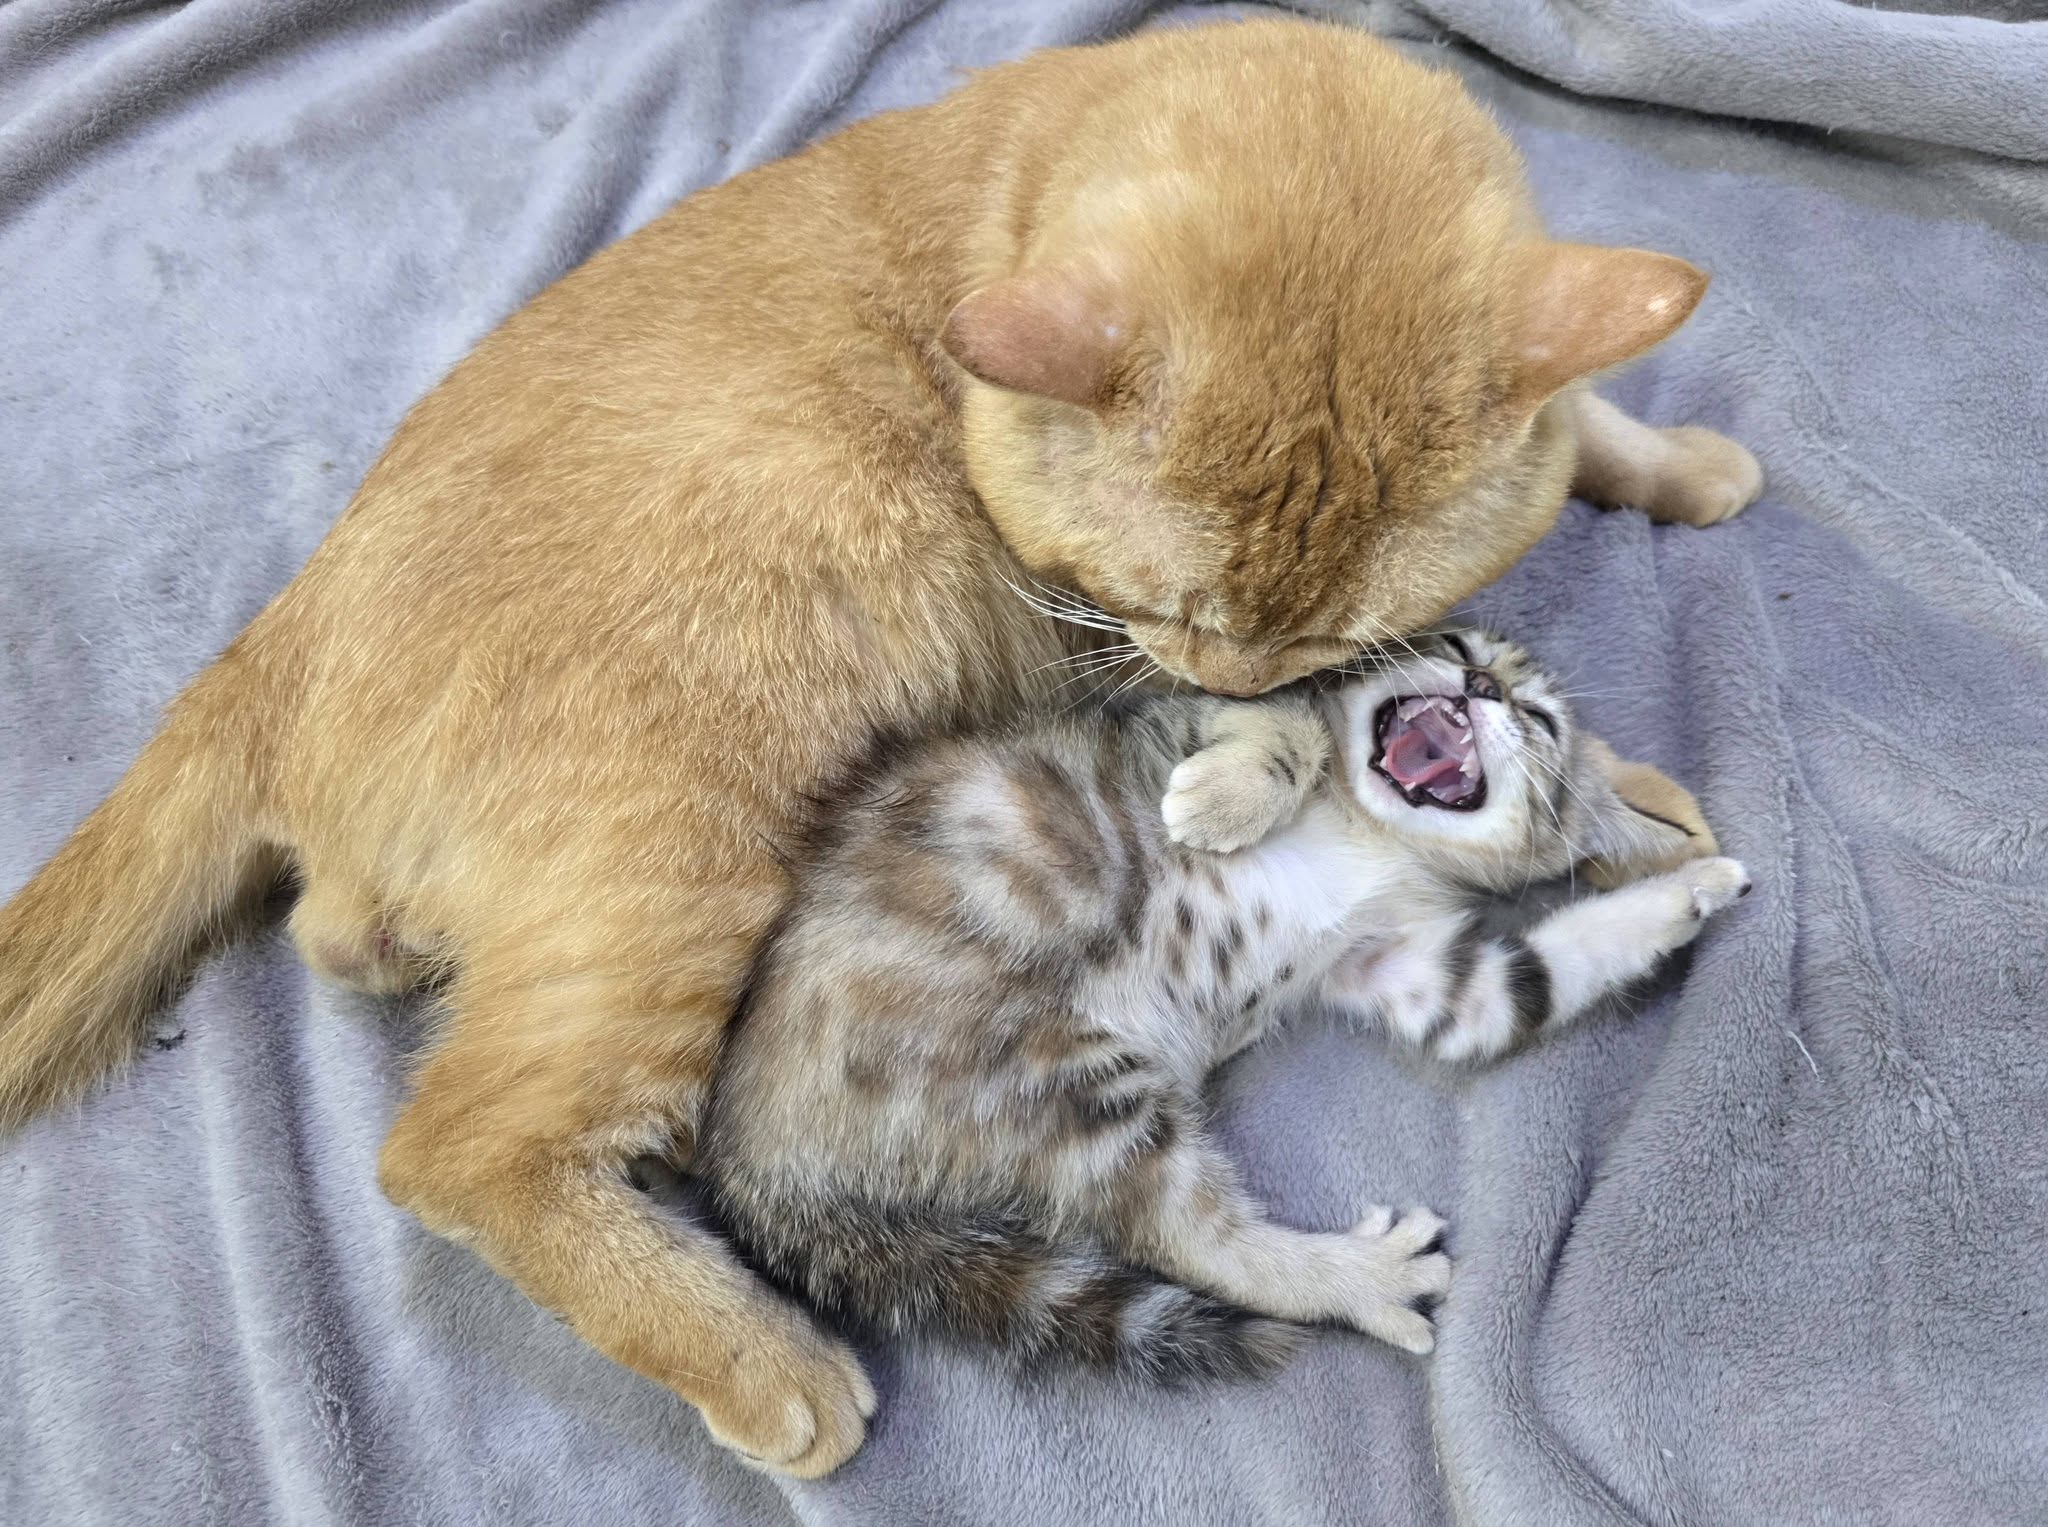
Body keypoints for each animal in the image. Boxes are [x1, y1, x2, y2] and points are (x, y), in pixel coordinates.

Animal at [697, 629, 1751, 1374]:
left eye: (1537, 719)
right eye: (1459, 647)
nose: (1483, 686)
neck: (1378, 836)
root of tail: (753, 1172)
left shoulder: (1416, 969)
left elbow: (1529, 979)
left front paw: (1690, 888)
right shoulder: (1174, 714)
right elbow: (1288, 723)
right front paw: (1230, 797)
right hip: (1064, 1082)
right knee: (1194, 1238)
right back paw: (1359, 1278)